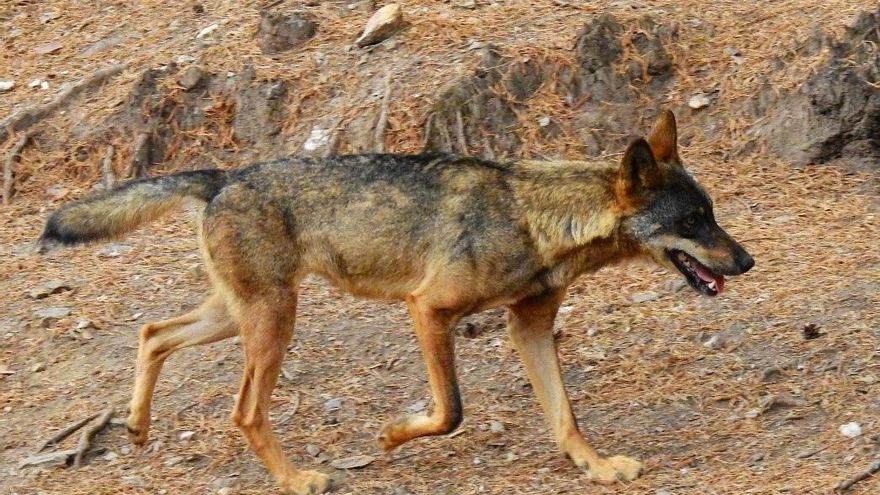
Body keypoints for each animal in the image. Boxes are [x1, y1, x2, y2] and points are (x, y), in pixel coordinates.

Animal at [38, 111, 753, 494]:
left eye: (712, 214)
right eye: (694, 222)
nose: (746, 261)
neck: (534, 218)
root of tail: (224, 175)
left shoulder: (529, 328)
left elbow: (565, 417)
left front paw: (597, 467)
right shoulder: (428, 310)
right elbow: (451, 411)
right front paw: (389, 436)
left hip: (237, 317)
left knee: (152, 331)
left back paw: (136, 426)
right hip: (273, 324)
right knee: (242, 411)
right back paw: (298, 480)